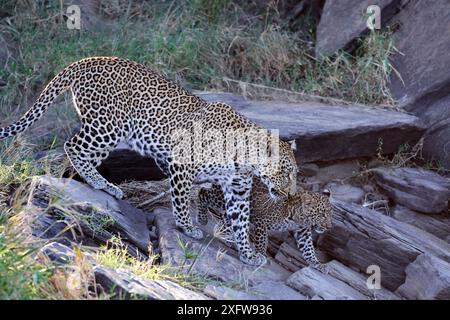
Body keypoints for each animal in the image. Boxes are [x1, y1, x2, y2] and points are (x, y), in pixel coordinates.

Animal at [0, 57, 298, 264]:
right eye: (286, 172)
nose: (291, 193)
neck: (245, 161)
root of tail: (85, 60)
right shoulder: (181, 164)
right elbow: (181, 200)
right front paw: (187, 227)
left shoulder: (237, 191)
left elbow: (241, 223)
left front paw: (248, 254)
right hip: (108, 126)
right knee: (72, 145)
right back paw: (102, 184)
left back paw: (103, 184)